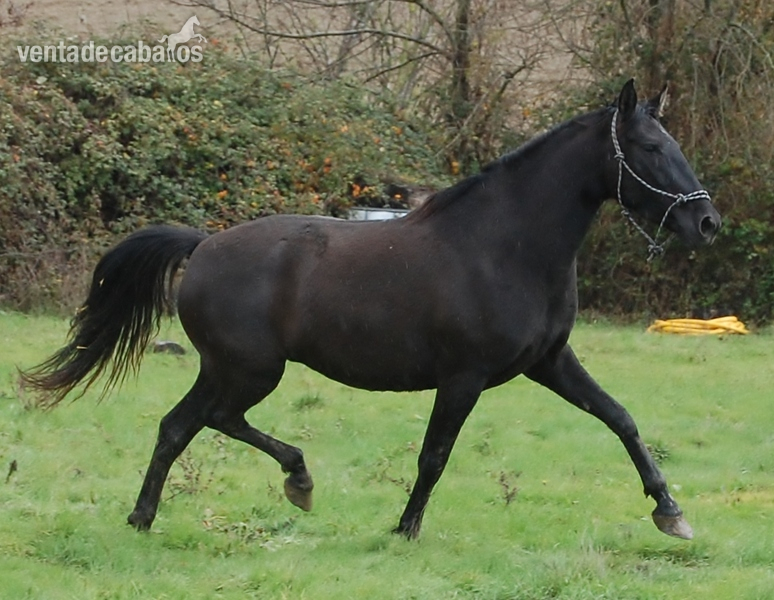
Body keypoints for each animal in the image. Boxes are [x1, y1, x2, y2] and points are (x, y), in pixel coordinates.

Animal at [21, 80, 721, 541]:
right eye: (651, 148)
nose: (707, 223)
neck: (505, 246)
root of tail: (204, 244)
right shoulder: (463, 377)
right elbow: (434, 455)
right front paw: (405, 529)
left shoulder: (549, 362)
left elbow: (621, 419)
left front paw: (670, 512)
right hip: (249, 369)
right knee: (211, 420)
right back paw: (295, 480)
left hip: (226, 368)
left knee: (178, 426)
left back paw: (147, 517)